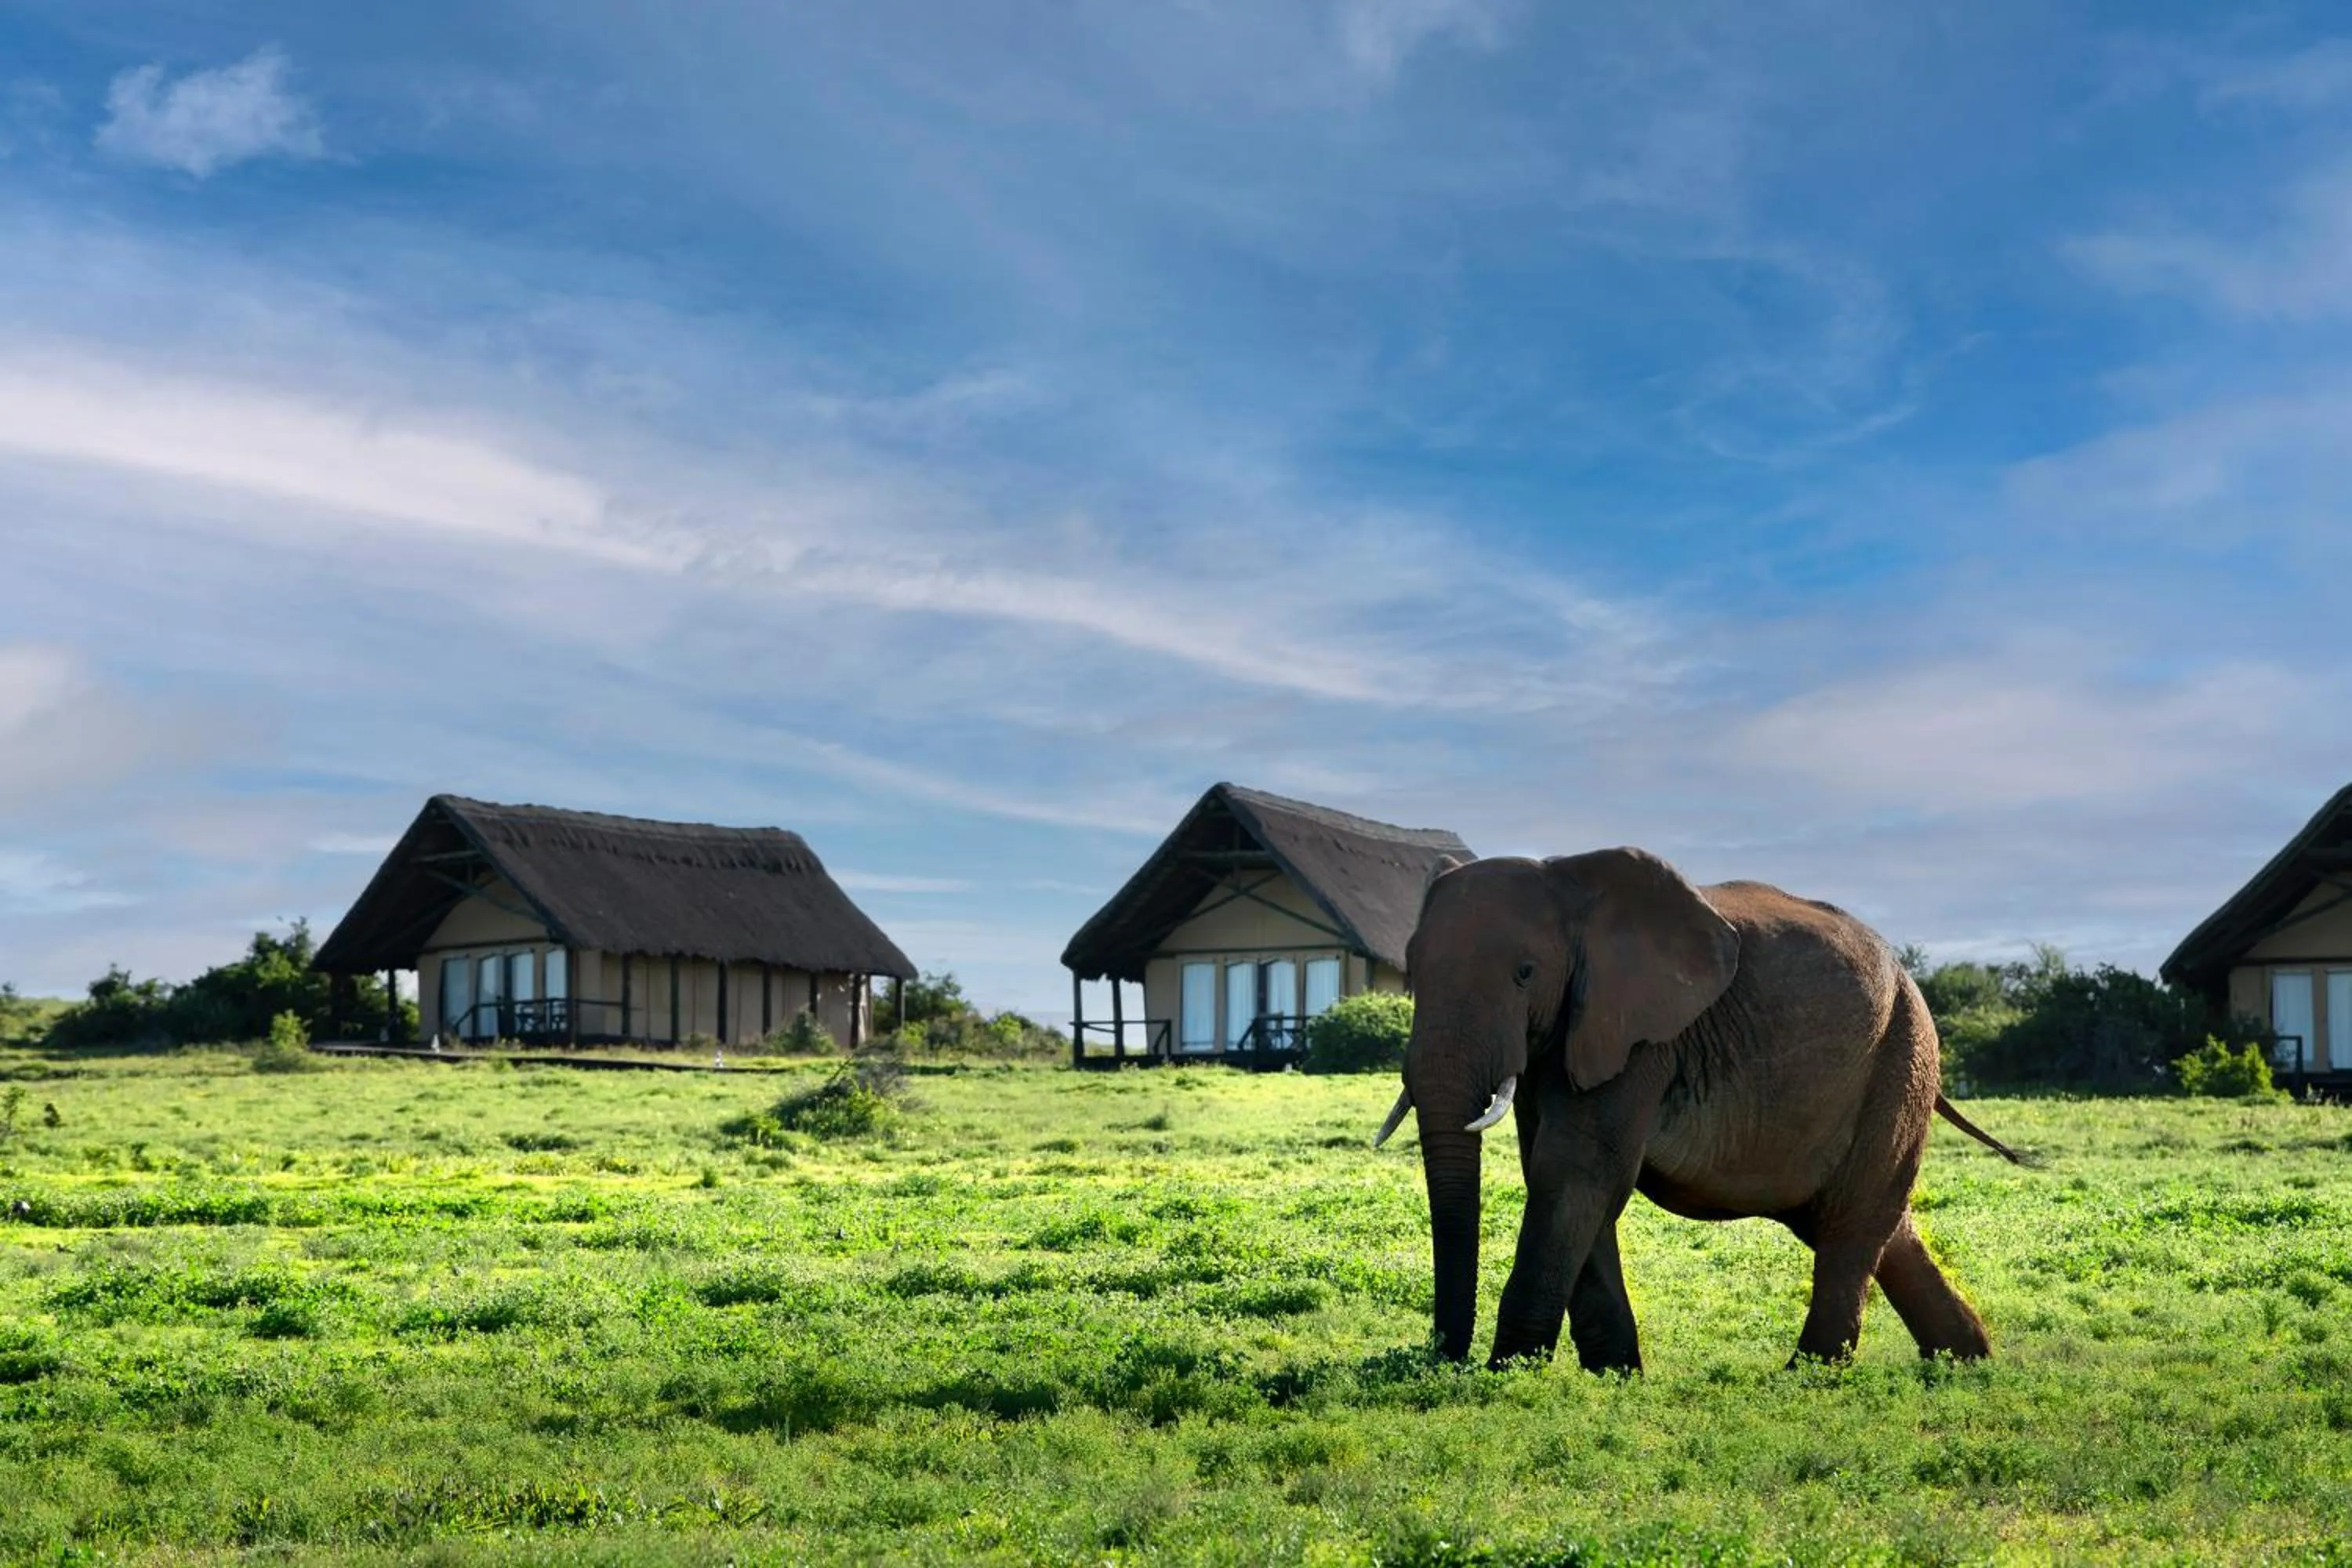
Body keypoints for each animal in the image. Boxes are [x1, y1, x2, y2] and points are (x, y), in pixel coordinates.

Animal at [1371, 848, 2020, 1371]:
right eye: (1411, 970)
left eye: (1525, 973)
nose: (1444, 1359)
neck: (1568, 880)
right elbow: (1559, 1173)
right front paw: (1614, 1377)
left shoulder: (1642, 1036)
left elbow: (1576, 1170)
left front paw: (1510, 1374)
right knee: (1869, 1223)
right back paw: (1965, 1360)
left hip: (1900, 1057)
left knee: (1851, 1224)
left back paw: (1805, 1379)